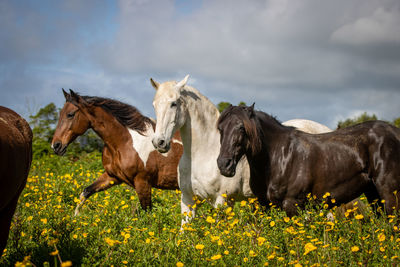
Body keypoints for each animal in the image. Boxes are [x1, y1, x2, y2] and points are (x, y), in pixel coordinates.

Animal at [148, 76, 332, 226]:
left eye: (174, 103)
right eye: (154, 105)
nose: (159, 142)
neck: (202, 153)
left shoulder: (222, 201)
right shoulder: (187, 199)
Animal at [219, 104, 400, 218]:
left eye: (241, 128)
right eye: (220, 128)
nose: (223, 165)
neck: (279, 157)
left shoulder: (292, 205)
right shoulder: (265, 205)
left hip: (389, 194)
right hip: (373, 194)